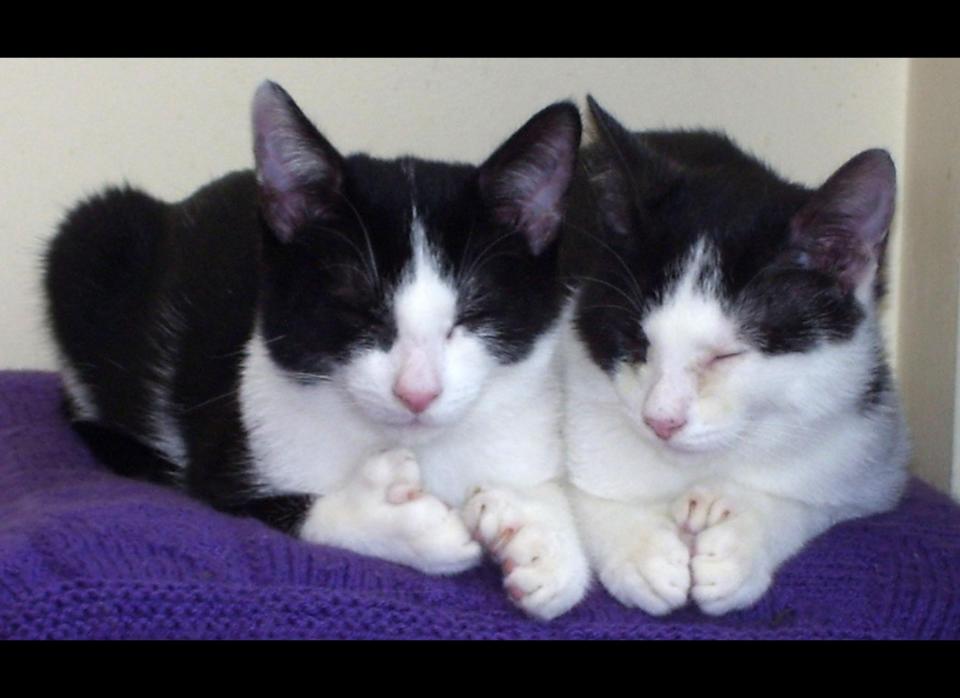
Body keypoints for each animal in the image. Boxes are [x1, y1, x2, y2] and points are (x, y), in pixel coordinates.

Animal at [47, 81, 592, 620]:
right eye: (358, 308)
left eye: (474, 312)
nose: (416, 392)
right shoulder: (227, 450)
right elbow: (260, 506)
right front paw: (393, 521)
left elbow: (555, 499)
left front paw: (542, 542)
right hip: (92, 233)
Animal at [556, 98, 908, 616]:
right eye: (637, 342)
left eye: (727, 355)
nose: (661, 421)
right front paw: (638, 548)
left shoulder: (877, 454)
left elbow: (818, 499)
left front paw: (742, 542)